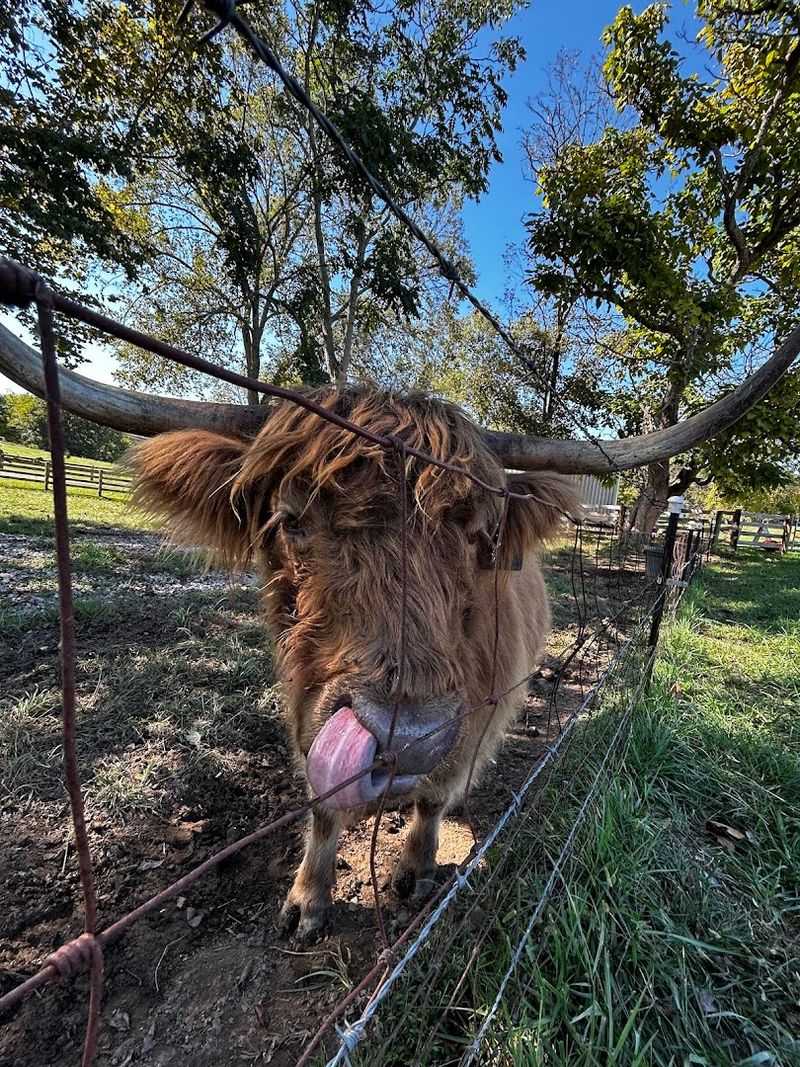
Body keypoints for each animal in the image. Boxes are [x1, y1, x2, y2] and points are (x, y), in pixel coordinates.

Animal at [130, 386, 579, 941]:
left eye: (480, 536)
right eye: (290, 520)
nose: (408, 738)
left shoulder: (480, 715)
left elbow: (434, 797)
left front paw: (416, 869)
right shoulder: (306, 706)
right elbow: (324, 808)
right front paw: (307, 900)